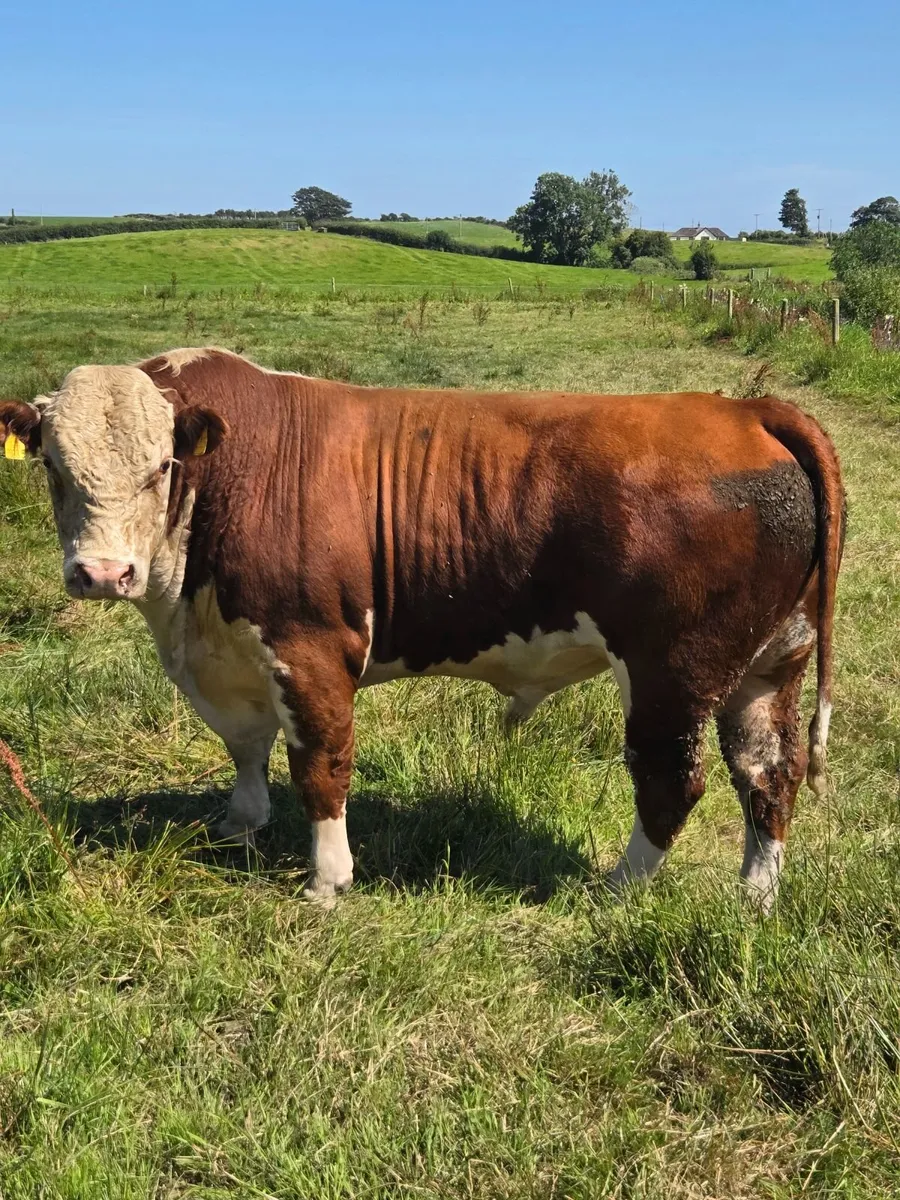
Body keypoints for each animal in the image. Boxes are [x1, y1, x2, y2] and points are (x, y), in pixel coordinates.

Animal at [0, 348, 844, 910]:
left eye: (161, 468)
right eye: (52, 468)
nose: (103, 573)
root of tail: (747, 409)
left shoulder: (311, 647)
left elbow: (321, 765)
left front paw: (327, 881)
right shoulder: (232, 653)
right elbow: (247, 746)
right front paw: (240, 826)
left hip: (674, 667)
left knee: (674, 780)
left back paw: (616, 889)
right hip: (770, 660)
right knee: (768, 773)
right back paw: (754, 898)